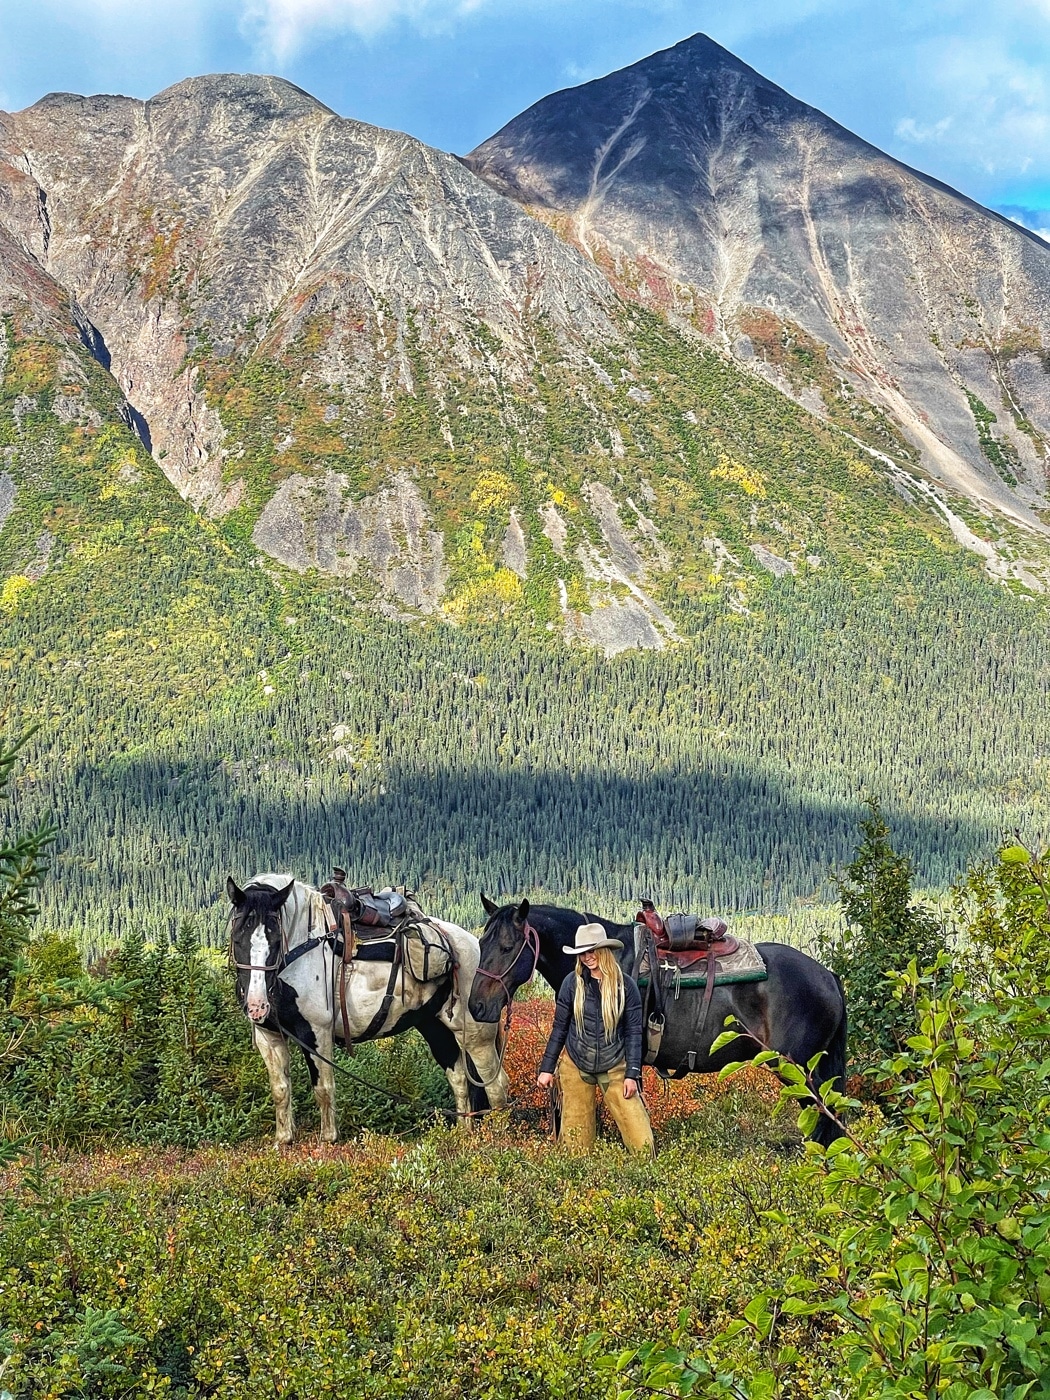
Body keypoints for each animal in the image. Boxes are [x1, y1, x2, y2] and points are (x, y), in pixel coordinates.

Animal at [228, 873, 512, 1148]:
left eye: (276, 938)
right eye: (237, 937)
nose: (256, 1005)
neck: (302, 950)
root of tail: (473, 945)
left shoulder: (316, 1034)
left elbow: (323, 1088)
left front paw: (328, 1140)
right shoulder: (268, 1036)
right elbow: (280, 1089)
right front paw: (284, 1140)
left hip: (475, 1036)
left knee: (496, 1085)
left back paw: (498, 1138)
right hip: (436, 1028)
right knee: (460, 1079)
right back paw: (464, 1135)